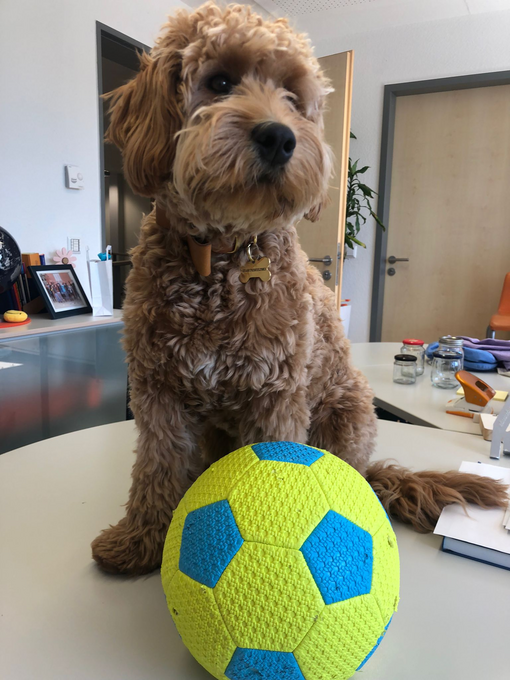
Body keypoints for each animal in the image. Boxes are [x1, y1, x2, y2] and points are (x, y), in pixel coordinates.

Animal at [90, 1, 506, 572]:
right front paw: (140, 540)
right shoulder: (158, 391)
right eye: (220, 82)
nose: (279, 137)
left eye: (292, 95)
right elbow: (156, 466)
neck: (219, 257)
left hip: (346, 414)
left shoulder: (276, 394)